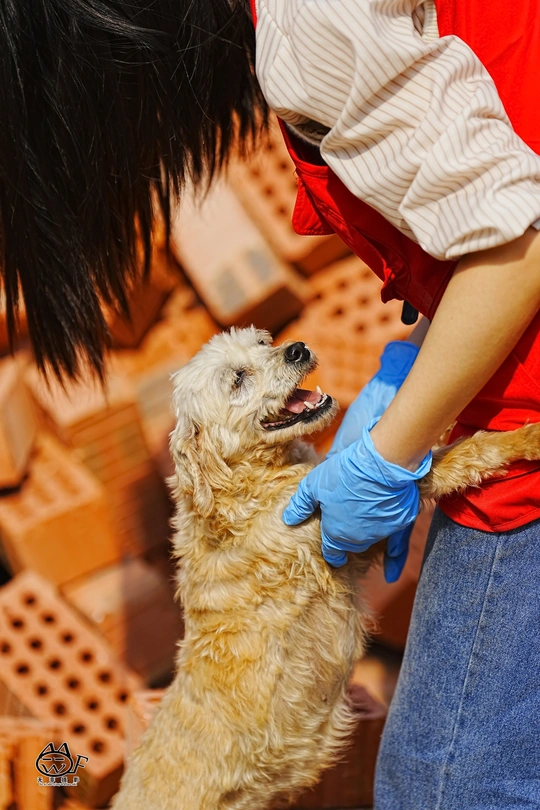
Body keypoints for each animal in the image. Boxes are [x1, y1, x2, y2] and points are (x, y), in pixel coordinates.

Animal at [111, 326, 540, 810]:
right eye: (237, 379)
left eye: (262, 342)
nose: (297, 349)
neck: (243, 488)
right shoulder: (338, 525)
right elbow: (447, 459)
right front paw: (529, 438)